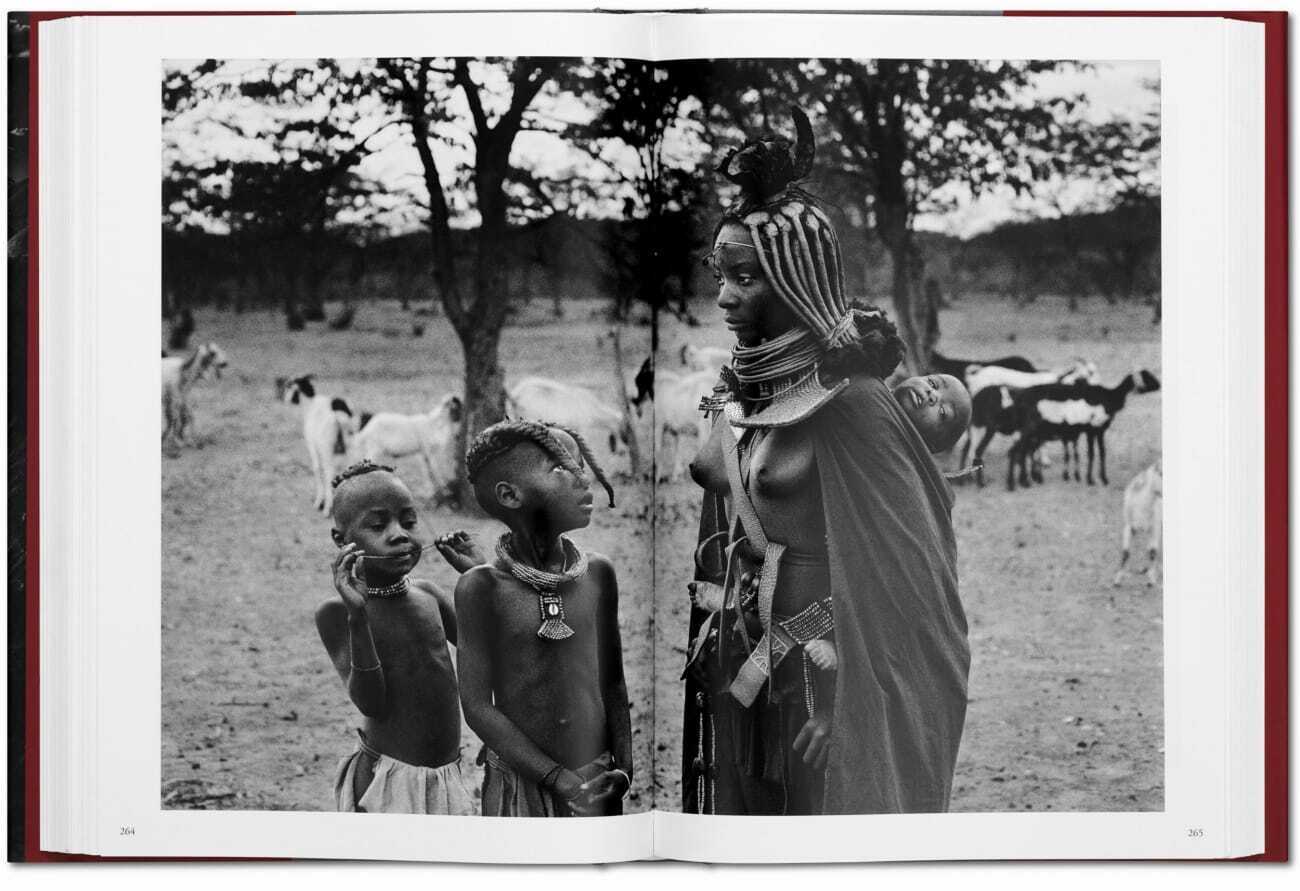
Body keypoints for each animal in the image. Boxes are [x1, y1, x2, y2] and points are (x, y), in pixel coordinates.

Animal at [282, 374, 358, 515]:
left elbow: (317, 469)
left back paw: (328, 508)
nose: (285, 399)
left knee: (329, 473)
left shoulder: (313, 447)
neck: (310, 405)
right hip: (351, 447)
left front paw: (319, 503)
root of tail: (338, 416)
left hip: (327, 449)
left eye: (290, 386)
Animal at [1003, 369, 1170, 494]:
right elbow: (1091, 453)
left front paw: (1103, 478)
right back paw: (1013, 484)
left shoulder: (1099, 430)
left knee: (1021, 452)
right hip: (1029, 429)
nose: (1159, 385)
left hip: (1030, 431)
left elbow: (1101, 452)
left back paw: (1025, 481)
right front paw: (1090, 479)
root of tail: (1018, 399)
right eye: (1147, 376)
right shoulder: (1092, 428)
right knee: (1016, 452)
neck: (1110, 396)